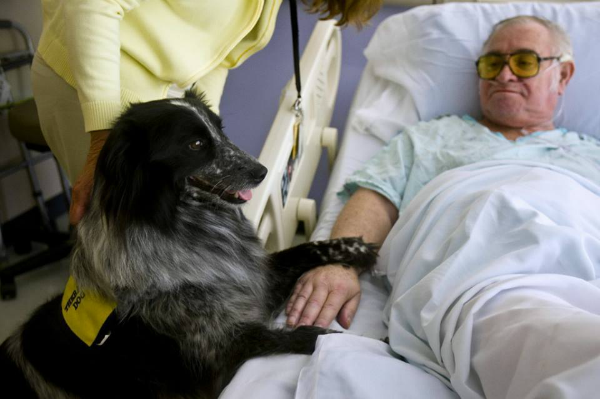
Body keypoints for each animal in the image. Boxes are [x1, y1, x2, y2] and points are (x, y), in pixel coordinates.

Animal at [0, 92, 376, 398]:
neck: (185, 227)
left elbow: (305, 249)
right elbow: (302, 336)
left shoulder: (251, 283)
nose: (262, 171)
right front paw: (366, 344)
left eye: (220, 131)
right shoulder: (221, 353)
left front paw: (357, 249)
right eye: (195, 144)